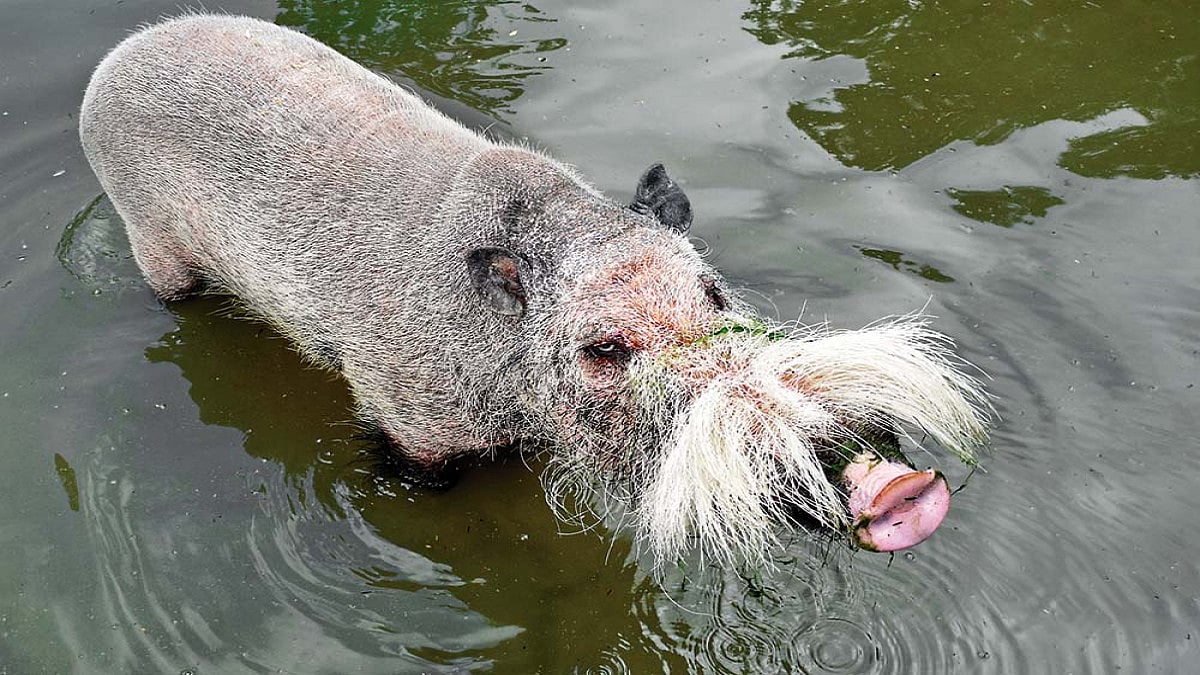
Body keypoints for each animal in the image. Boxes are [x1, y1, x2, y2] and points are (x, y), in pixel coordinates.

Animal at [79, 14, 989, 571]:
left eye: (714, 293)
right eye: (606, 348)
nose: (896, 485)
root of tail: (111, 64)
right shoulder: (409, 427)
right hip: (154, 245)